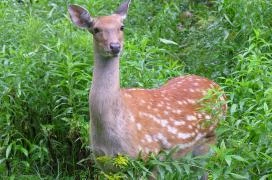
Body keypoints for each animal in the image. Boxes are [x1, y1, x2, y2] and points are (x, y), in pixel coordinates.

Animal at [68, 0, 227, 174]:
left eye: (122, 27)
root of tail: (220, 89)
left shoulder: (147, 155)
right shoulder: (103, 163)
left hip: (211, 137)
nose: (115, 46)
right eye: (96, 29)